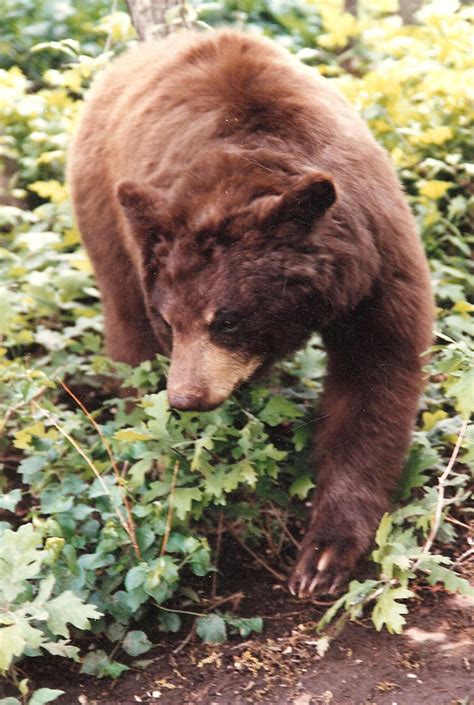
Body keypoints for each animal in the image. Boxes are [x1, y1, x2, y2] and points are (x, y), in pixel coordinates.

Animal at [66, 30, 434, 596]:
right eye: (170, 321)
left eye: (228, 318)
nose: (186, 398)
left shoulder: (374, 256)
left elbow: (376, 370)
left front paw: (323, 557)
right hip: (109, 216)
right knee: (126, 323)